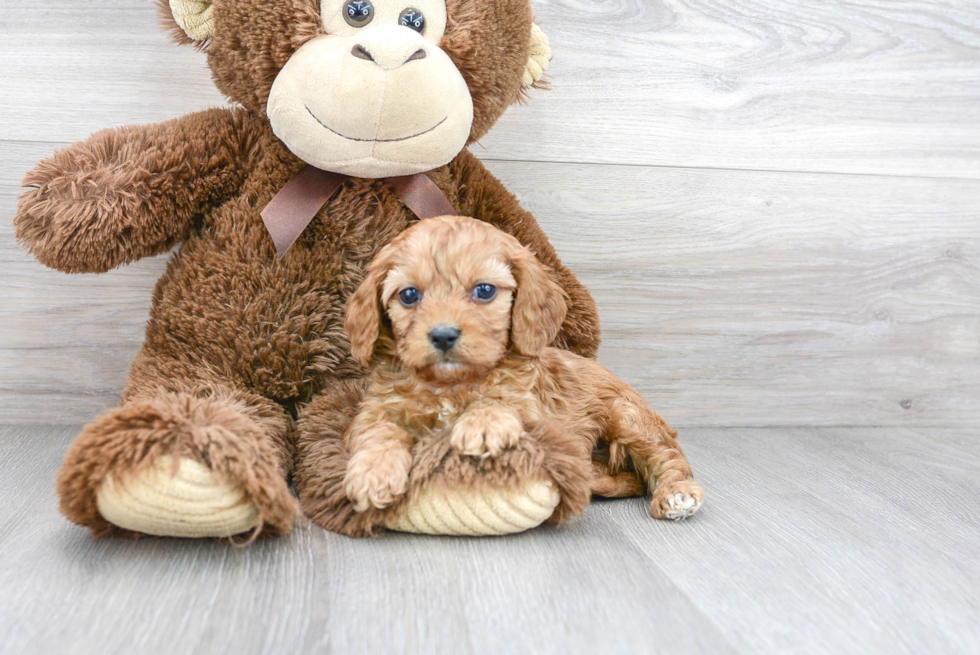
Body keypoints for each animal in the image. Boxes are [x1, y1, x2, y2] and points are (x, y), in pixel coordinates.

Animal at [340, 215, 700, 524]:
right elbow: (377, 431)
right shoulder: (379, 407)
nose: (443, 335)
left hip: (628, 416)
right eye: (409, 295)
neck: (451, 384)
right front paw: (373, 472)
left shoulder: (536, 416)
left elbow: (502, 398)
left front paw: (484, 422)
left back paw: (677, 493)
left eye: (484, 290)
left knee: (666, 457)